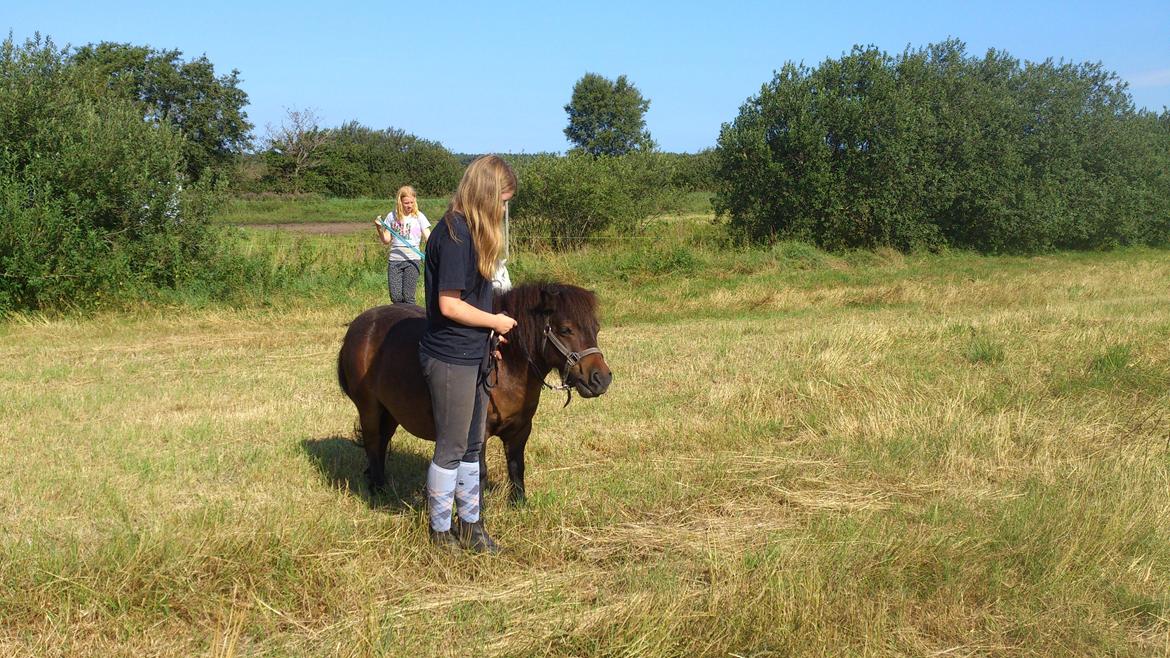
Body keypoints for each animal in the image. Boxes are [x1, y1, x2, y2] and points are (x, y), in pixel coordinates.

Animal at [336, 278, 613, 498]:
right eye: (566, 329)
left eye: (596, 328)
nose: (601, 379)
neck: (505, 366)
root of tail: (360, 325)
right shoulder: (477, 435)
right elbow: (477, 476)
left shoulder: (521, 429)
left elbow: (517, 467)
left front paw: (519, 505)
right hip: (369, 408)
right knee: (373, 442)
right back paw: (378, 491)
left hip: (391, 411)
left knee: (382, 442)